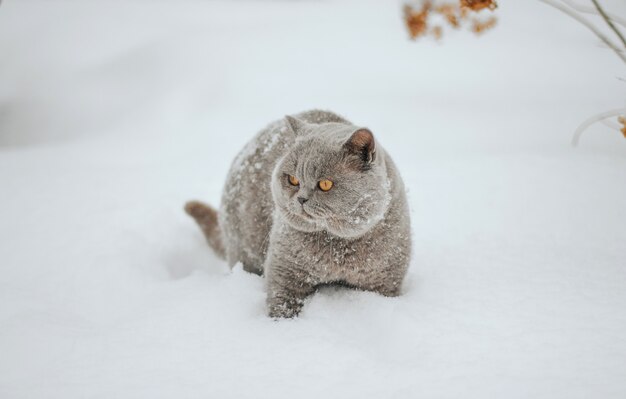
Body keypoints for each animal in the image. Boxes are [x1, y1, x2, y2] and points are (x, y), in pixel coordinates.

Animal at [185, 109, 410, 318]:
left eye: (325, 184)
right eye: (293, 180)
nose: (301, 199)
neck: (338, 249)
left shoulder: (385, 281)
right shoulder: (284, 271)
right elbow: (282, 304)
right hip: (244, 246)